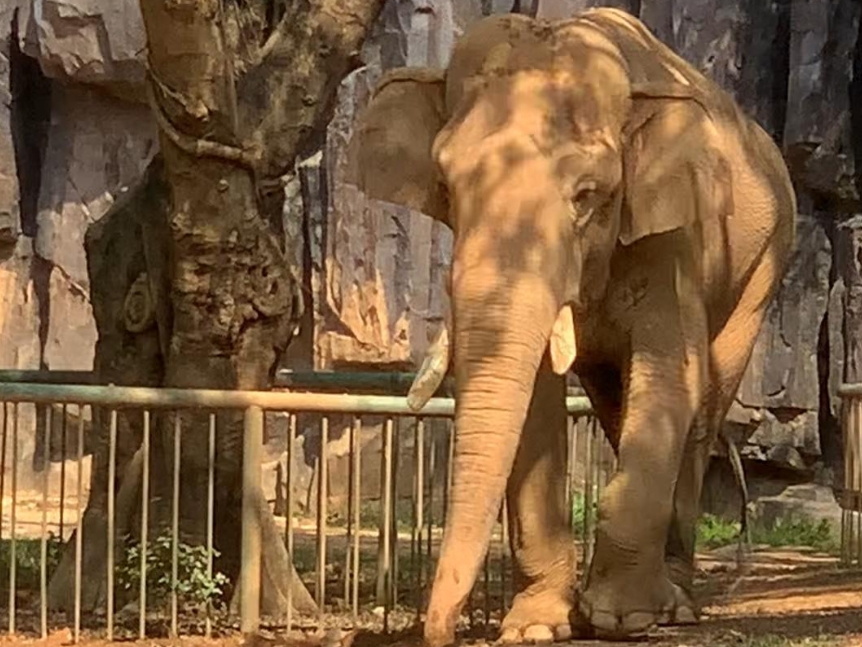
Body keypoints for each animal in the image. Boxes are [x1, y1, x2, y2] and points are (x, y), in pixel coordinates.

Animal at [346, 7, 796, 644]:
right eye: (447, 187)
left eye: (587, 195)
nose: (437, 631)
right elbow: (535, 399)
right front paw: (535, 626)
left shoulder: (672, 238)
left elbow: (669, 377)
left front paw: (619, 618)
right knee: (616, 405)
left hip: (763, 267)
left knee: (701, 411)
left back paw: (676, 604)